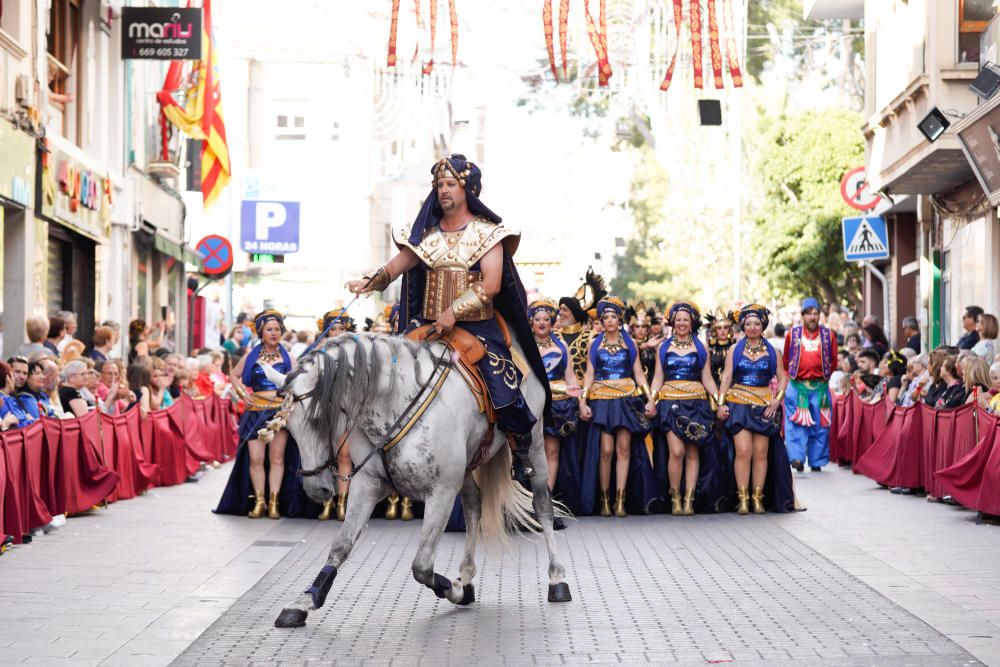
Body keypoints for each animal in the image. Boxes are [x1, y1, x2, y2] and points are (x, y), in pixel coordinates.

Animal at [262, 334, 572, 632]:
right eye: (289, 427)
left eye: (317, 419)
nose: (316, 488)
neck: (395, 403)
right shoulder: (367, 486)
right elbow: (340, 546)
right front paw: (304, 602)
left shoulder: (441, 493)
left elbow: (421, 566)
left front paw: (455, 591)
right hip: (467, 466)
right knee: (474, 505)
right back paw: (467, 575)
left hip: (536, 445)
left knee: (542, 505)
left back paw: (556, 578)